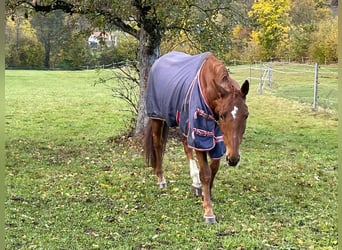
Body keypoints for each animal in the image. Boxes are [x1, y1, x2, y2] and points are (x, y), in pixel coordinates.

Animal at [144, 51, 248, 224]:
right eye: (222, 115)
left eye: (246, 115)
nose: (233, 159)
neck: (208, 89)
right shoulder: (201, 136)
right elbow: (205, 172)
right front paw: (208, 211)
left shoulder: (217, 138)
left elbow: (213, 168)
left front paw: (207, 194)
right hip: (157, 117)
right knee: (158, 145)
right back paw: (161, 180)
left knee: (186, 146)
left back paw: (195, 183)